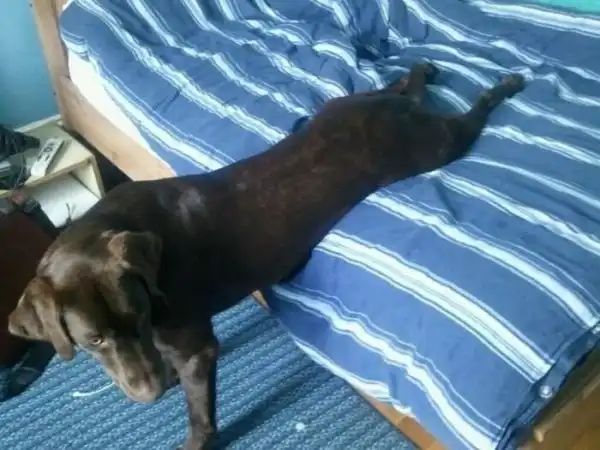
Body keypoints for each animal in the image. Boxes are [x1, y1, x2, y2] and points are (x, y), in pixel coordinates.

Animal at [7, 63, 524, 450]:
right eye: (93, 340)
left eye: (137, 316)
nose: (149, 393)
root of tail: (392, 111)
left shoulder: (196, 350)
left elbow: (200, 414)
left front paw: (194, 435)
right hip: (355, 106)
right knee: (404, 85)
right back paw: (424, 69)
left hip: (434, 146)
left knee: (472, 113)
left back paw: (505, 86)